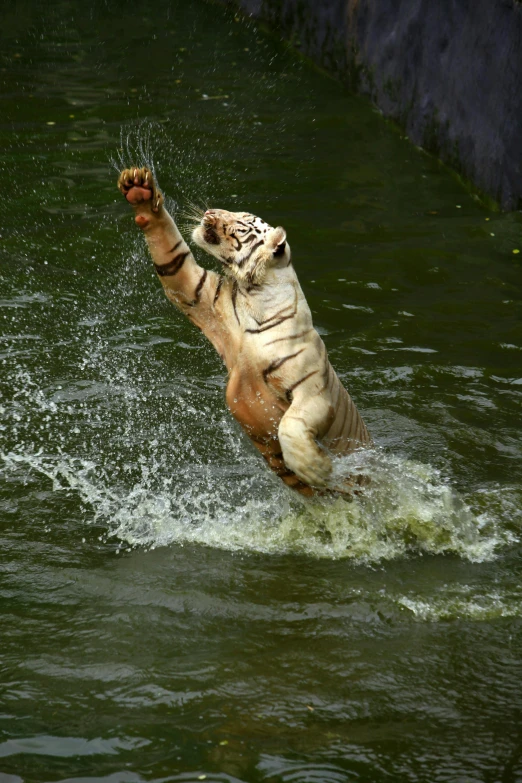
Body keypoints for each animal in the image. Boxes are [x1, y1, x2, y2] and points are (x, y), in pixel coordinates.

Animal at [118, 165, 370, 496]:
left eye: (241, 224)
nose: (209, 211)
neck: (256, 296)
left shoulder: (313, 390)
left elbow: (290, 426)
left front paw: (317, 469)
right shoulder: (197, 290)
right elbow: (173, 255)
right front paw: (140, 191)